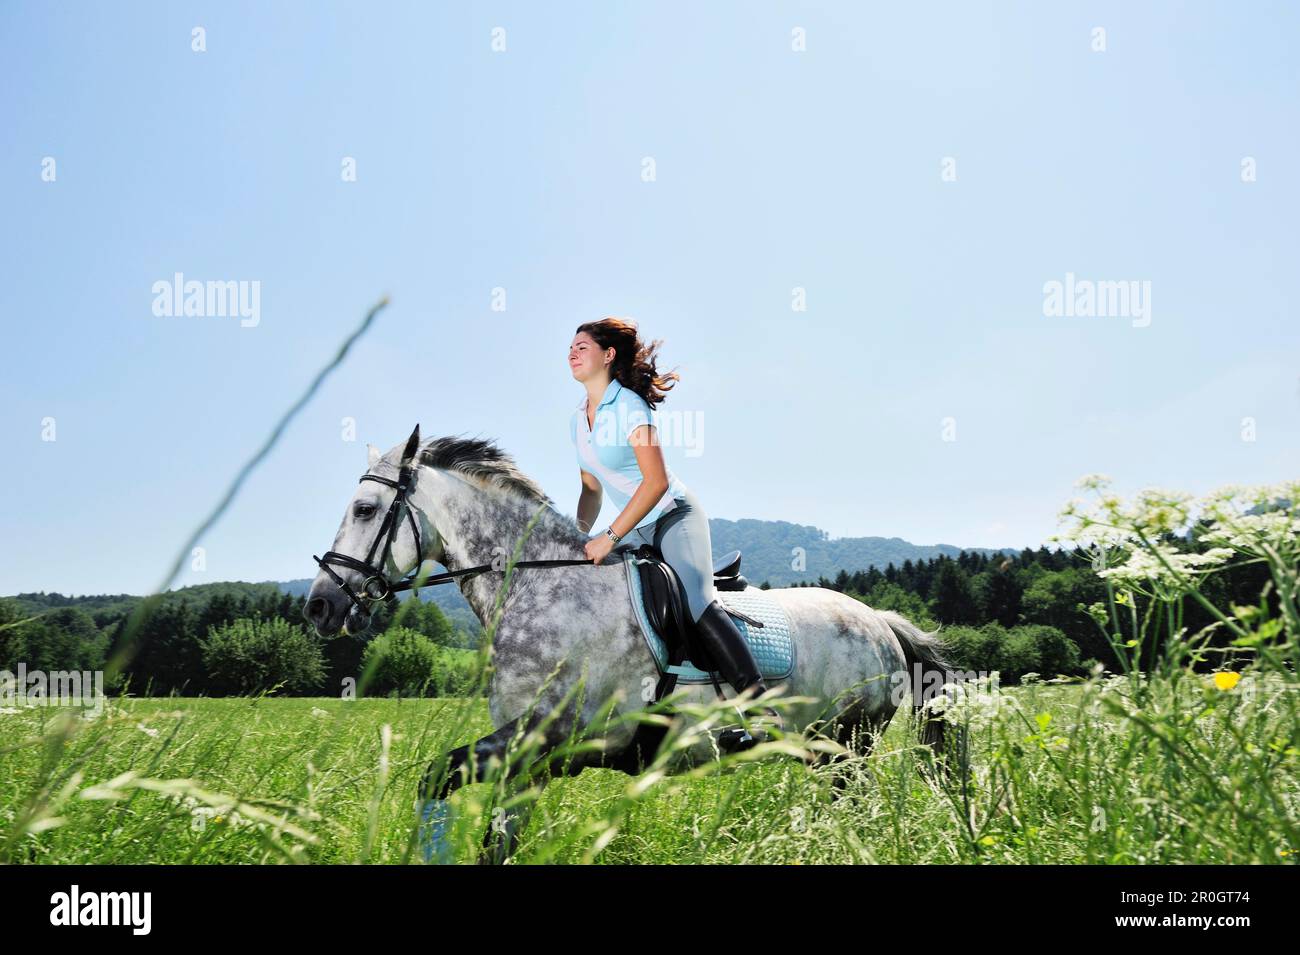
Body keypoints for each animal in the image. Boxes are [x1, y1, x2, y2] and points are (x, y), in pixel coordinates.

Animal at [303, 425, 959, 863]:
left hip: (848, 748)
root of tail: (880, 622)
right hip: (827, 753)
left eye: (365, 509)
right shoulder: (525, 758)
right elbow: (492, 836)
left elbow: (437, 775)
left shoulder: (553, 737)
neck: (541, 585)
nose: (321, 605)